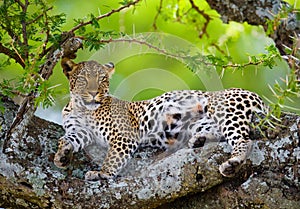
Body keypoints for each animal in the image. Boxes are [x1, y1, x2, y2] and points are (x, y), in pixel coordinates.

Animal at [54, 58, 268, 180]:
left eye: (102, 80)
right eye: (83, 79)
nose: (93, 93)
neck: (81, 108)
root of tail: (258, 97)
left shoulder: (123, 136)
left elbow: (113, 157)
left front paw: (103, 173)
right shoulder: (81, 131)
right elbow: (66, 139)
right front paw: (61, 156)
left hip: (226, 112)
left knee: (244, 140)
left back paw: (232, 163)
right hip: (202, 122)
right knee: (216, 132)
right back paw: (198, 140)